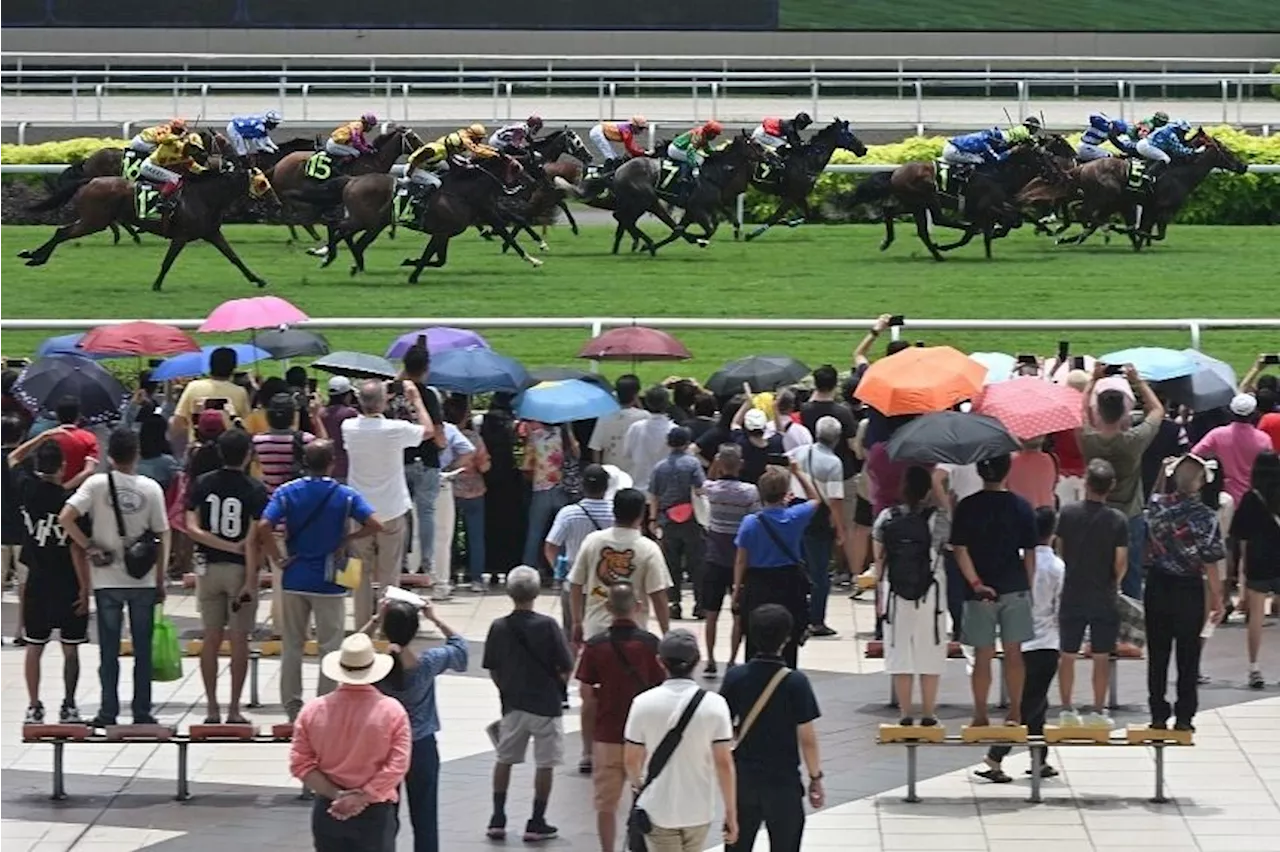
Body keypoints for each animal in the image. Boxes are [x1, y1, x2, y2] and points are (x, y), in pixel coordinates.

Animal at [17, 166, 279, 291]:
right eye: (263, 183)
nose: (277, 203)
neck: (205, 197)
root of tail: (91, 180)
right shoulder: (181, 236)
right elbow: (167, 262)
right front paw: (156, 284)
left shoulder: (212, 233)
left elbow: (234, 258)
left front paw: (257, 279)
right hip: (94, 221)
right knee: (62, 232)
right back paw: (35, 257)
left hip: (93, 220)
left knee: (62, 232)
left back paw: (33, 256)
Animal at [742, 117, 870, 240]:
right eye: (849, 134)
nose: (864, 149)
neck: (807, 160)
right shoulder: (791, 196)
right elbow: (775, 217)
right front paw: (751, 235)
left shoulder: (800, 196)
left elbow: (807, 215)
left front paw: (788, 222)